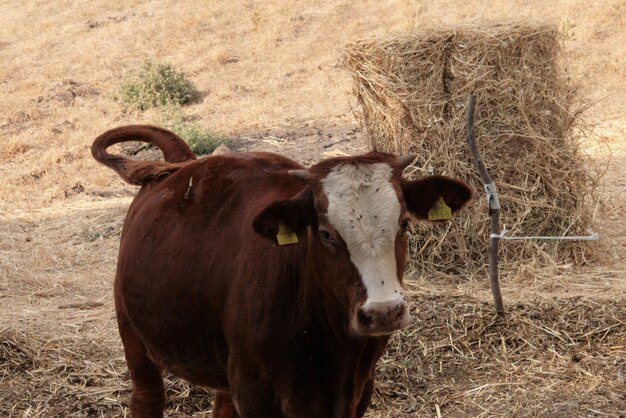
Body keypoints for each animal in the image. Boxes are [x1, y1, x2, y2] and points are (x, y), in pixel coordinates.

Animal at [91, 125, 468, 418]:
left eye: (404, 223)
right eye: (326, 234)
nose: (384, 312)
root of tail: (182, 163)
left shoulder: (361, 387)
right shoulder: (256, 394)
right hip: (134, 338)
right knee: (147, 399)